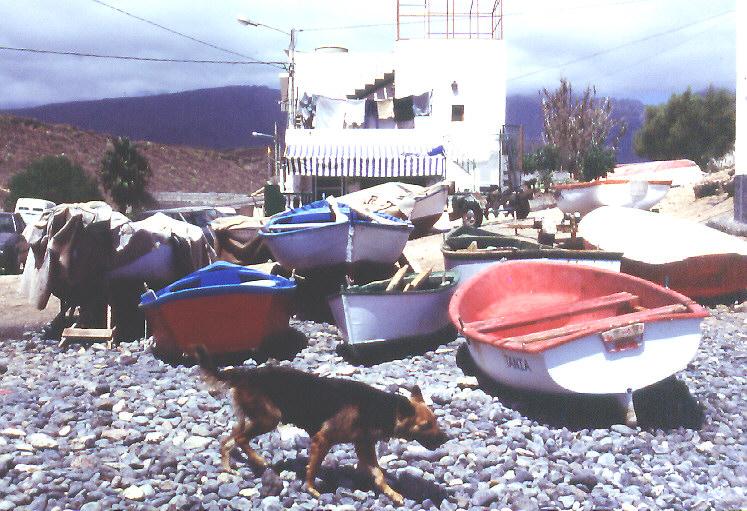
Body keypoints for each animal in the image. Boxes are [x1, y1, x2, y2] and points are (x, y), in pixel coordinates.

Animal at [194, 346, 450, 506]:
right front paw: (310, 488)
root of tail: (244, 373)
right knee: (240, 438)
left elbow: (378, 475)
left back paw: (228, 466)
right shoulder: (323, 439)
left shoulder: (364, 447)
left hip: (255, 418)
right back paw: (258, 461)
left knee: (228, 439)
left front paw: (392, 494)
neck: (380, 408)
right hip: (270, 417)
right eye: (425, 426)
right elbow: (313, 468)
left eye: (435, 422)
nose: (446, 439)